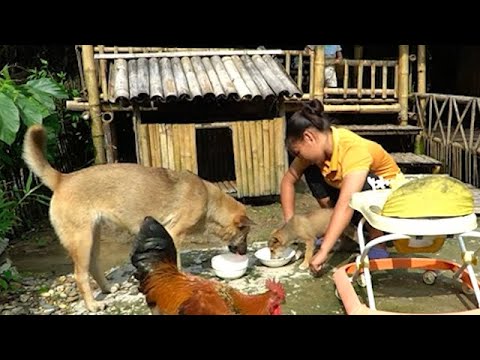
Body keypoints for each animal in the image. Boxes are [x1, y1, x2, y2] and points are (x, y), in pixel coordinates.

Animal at [22, 126, 255, 312]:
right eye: (245, 235)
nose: (245, 253)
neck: (208, 200)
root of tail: (62, 179)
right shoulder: (174, 234)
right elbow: (176, 261)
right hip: (82, 241)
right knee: (80, 275)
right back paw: (92, 305)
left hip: (93, 237)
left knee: (94, 266)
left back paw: (107, 289)